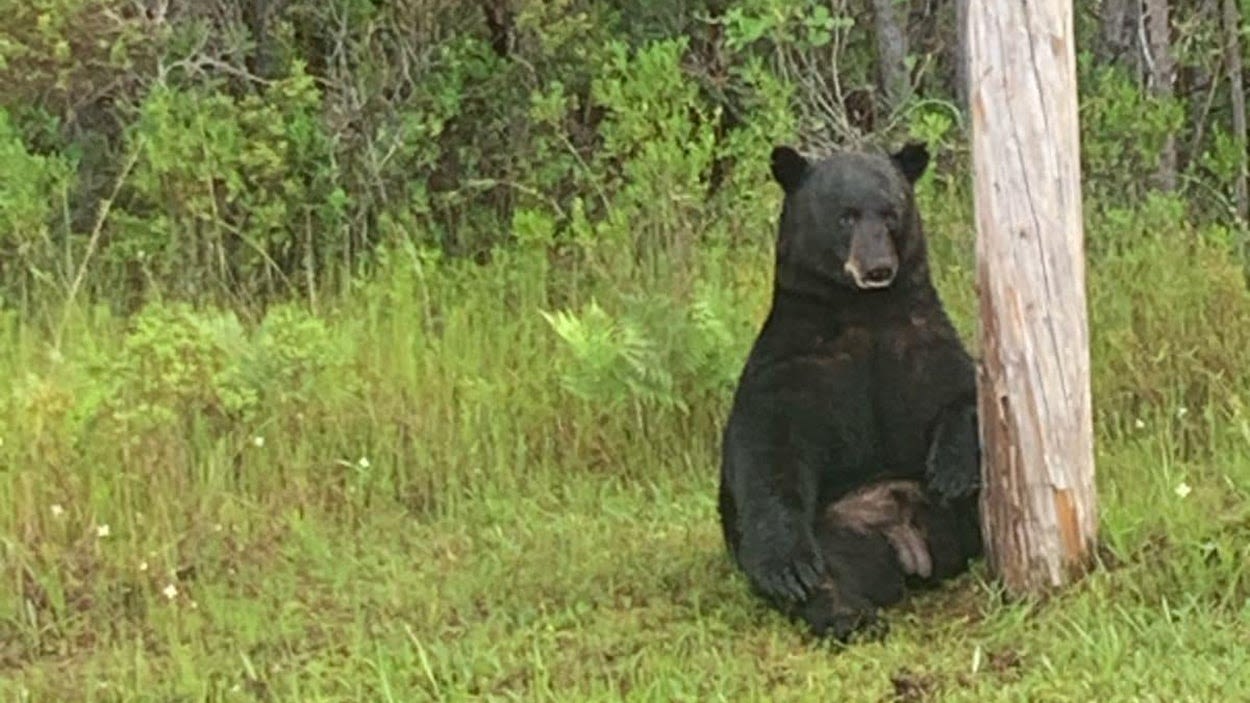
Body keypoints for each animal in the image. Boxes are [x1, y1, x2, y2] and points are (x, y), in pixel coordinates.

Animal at [720, 139, 980, 637]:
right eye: (845, 216)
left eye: (891, 212)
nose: (877, 268)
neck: (864, 311)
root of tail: (906, 542)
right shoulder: (794, 364)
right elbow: (769, 449)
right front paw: (786, 569)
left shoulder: (922, 340)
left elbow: (965, 389)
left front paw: (953, 470)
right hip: (836, 531)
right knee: (828, 572)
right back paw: (847, 614)